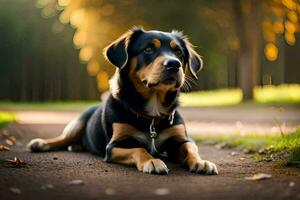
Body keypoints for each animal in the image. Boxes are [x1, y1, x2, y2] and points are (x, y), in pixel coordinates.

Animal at [27, 27, 218, 175]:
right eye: (148, 49)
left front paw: (201, 162)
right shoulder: (114, 145)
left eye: (178, 51)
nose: (174, 64)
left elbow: (190, 148)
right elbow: (139, 149)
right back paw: (41, 143)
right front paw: (152, 161)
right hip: (77, 123)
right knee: (63, 138)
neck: (153, 109)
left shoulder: (181, 137)